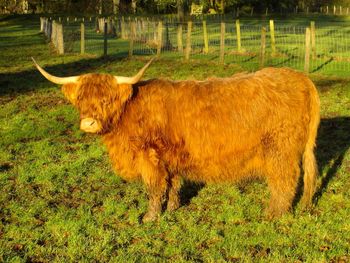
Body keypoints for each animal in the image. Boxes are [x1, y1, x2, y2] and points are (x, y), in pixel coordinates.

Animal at [32, 58, 320, 223]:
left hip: (279, 149)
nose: (88, 123)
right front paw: (171, 209)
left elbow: (154, 188)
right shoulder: (169, 157)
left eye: (107, 99)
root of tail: (300, 77)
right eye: (81, 98)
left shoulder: (149, 157)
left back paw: (273, 215)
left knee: (285, 180)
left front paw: (150, 217)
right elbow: (172, 185)